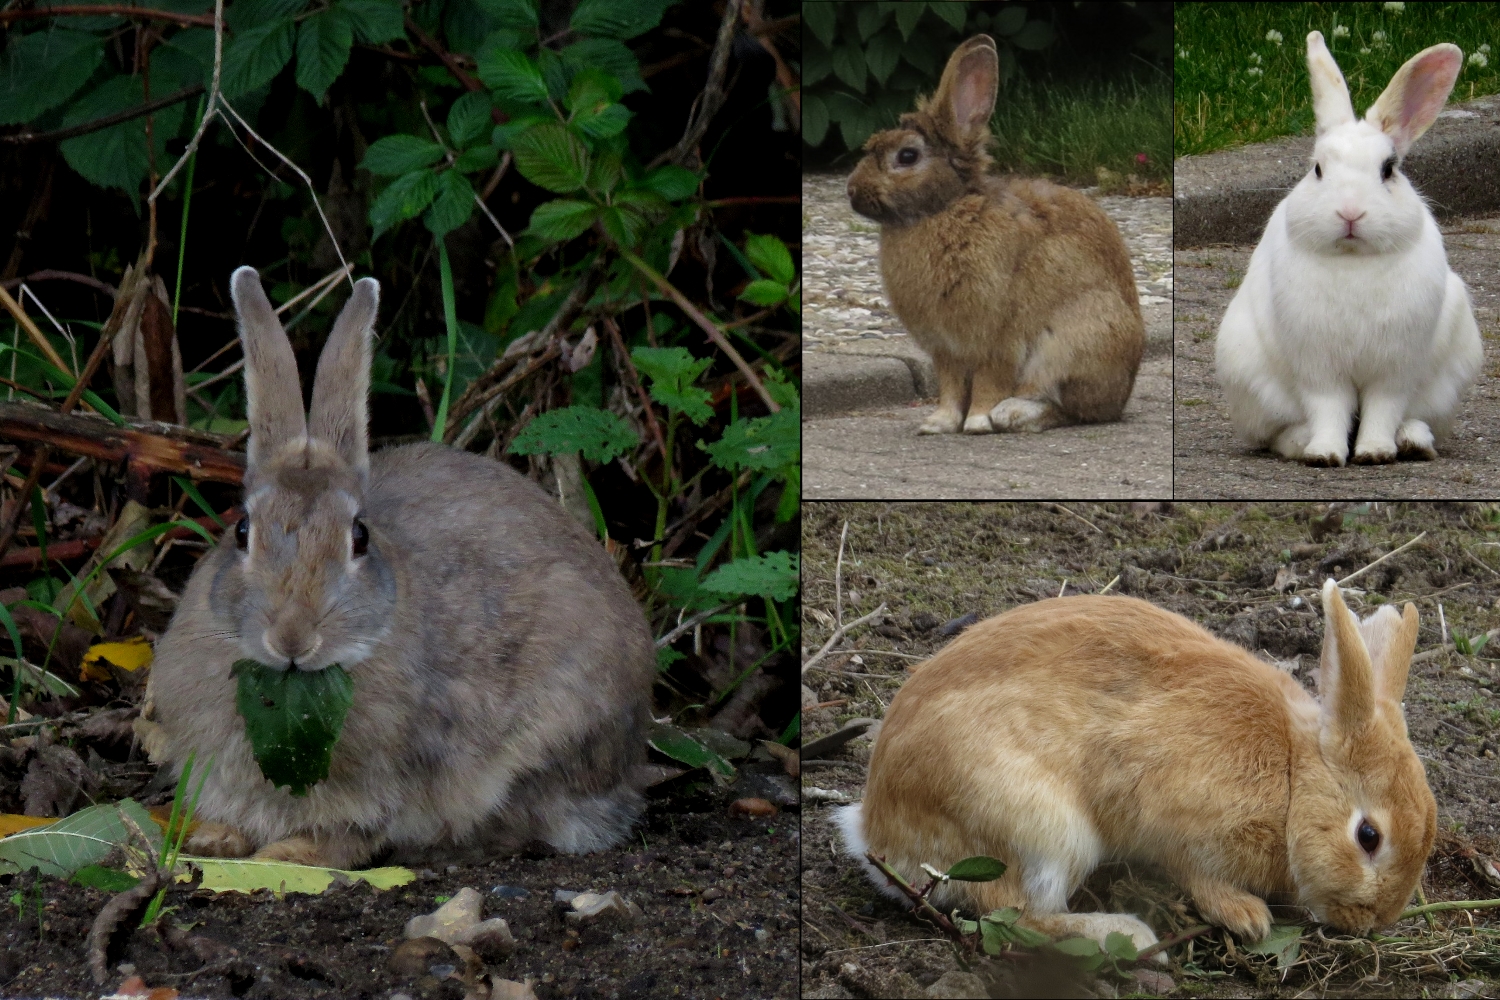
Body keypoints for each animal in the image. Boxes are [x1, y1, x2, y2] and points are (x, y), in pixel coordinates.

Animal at [138, 265, 654, 869]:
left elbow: (356, 833)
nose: (292, 638)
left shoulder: (396, 778)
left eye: (359, 537)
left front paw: (287, 855)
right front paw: (214, 839)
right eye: (242, 530)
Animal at [852, 36, 1140, 434]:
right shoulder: (947, 351)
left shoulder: (998, 341)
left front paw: (976, 423)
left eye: (907, 156)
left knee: (1067, 408)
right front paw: (938, 424)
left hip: (1076, 344)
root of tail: (1123, 394)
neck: (944, 209)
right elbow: (951, 388)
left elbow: (989, 383)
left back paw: (1010, 414)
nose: (852, 191)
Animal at [1218, 31, 1488, 467]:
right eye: (1317, 169)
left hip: (1448, 380)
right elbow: (1328, 407)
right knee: (1278, 434)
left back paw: (1412, 442)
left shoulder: (1395, 368)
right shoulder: (1319, 368)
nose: (1350, 212)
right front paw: (1325, 454)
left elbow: (1383, 408)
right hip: (1248, 375)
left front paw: (1375, 452)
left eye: (1388, 170)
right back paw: (1303, 443)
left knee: (1413, 417)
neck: (1353, 259)